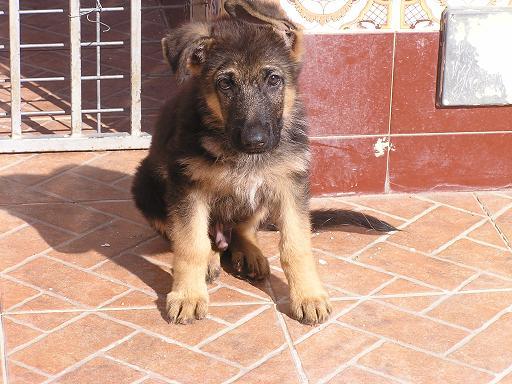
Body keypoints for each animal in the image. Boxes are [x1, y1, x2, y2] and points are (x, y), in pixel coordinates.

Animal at [133, 0, 396, 324]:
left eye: (273, 80)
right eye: (225, 84)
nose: (254, 141)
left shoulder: (291, 185)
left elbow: (296, 246)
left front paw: (309, 295)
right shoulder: (187, 187)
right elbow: (191, 245)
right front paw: (187, 295)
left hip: (260, 198)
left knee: (244, 230)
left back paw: (249, 253)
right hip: (146, 184)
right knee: (195, 237)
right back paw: (212, 259)